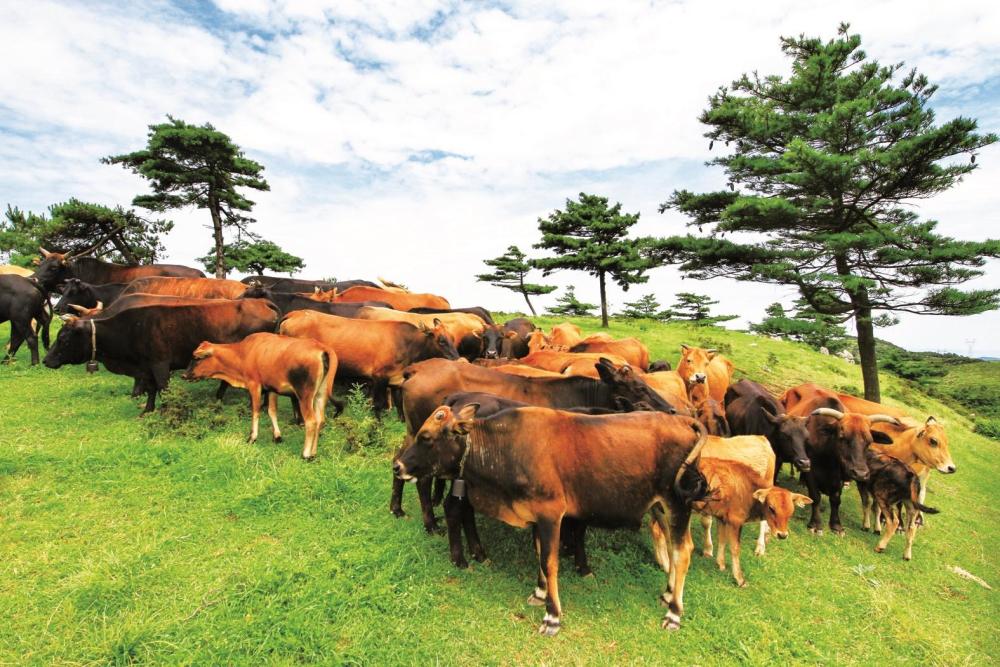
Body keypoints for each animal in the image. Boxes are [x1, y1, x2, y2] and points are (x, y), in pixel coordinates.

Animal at [180, 332, 336, 460]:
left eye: (196, 358)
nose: (184, 375)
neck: (243, 353)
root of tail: (321, 348)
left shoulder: (254, 385)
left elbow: (255, 411)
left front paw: (252, 438)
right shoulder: (271, 389)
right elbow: (272, 411)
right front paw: (277, 436)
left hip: (305, 396)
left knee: (311, 421)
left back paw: (306, 454)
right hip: (320, 395)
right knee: (321, 420)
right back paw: (314, 453)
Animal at [278, 310, 458, 412]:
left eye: (452, 338)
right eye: (441, 340)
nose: (456, 358)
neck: (408, 343)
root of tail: (294, 314)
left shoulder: (397, 381)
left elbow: (400, 405)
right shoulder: (379, 377)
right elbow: (377, 404)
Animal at [394, 408, 708, 636]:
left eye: (426, 437)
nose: (397, 466)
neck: (506, 447)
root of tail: (683, 419)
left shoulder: (551, 515)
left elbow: (549, 561)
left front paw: (552, 615)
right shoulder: (536, 516)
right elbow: (538, 554)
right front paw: (539, 592)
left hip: (677, 503)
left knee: (683, 552)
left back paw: (674, 613)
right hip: (661, 506)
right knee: (673, 546)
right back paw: (668, 593)